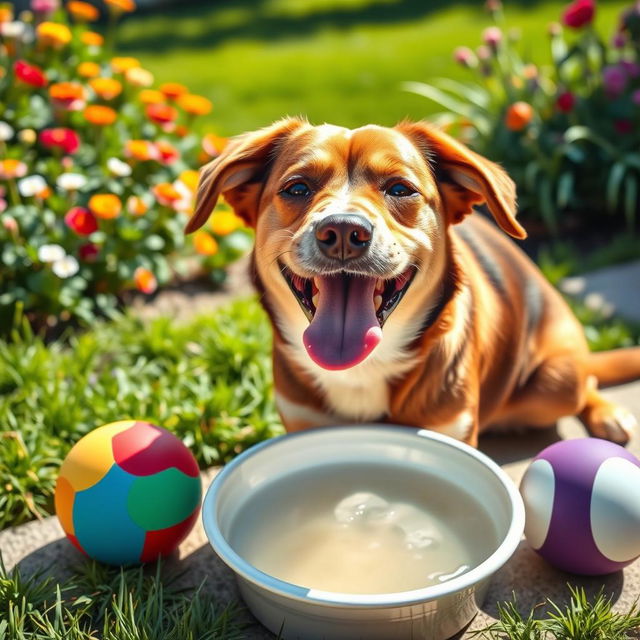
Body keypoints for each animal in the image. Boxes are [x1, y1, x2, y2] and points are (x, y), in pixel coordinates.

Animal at [185, 117, 640, 448]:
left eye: (400, 189)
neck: (363, 368)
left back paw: (608, 412)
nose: (344, 231)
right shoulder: (302, 422)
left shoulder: (452, 429)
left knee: (586, 382)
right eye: (297, 188)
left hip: (556, 384)